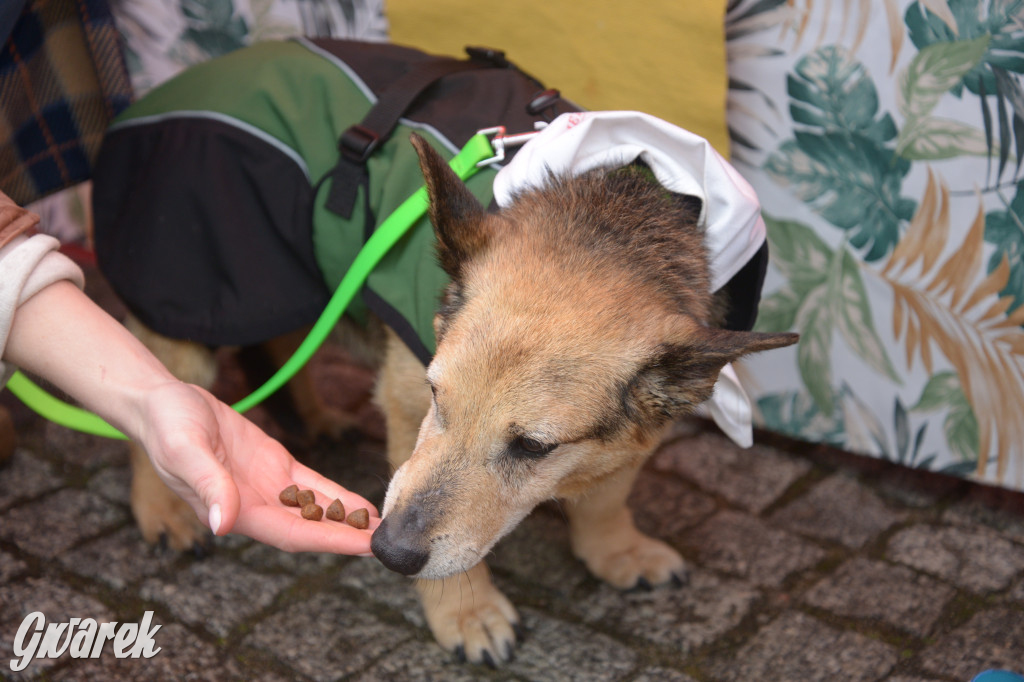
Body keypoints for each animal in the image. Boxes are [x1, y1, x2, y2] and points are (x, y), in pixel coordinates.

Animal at [92, 38, 794, 663]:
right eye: (436, 396)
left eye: (533, 448)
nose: (388, 553)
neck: (614, 224)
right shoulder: (406, 408)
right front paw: (467, 611)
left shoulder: (638, 431)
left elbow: (607, 495)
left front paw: (614, 549)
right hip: (196, 305)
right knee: (154, 394)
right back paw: (163, 508)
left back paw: (311, 418)